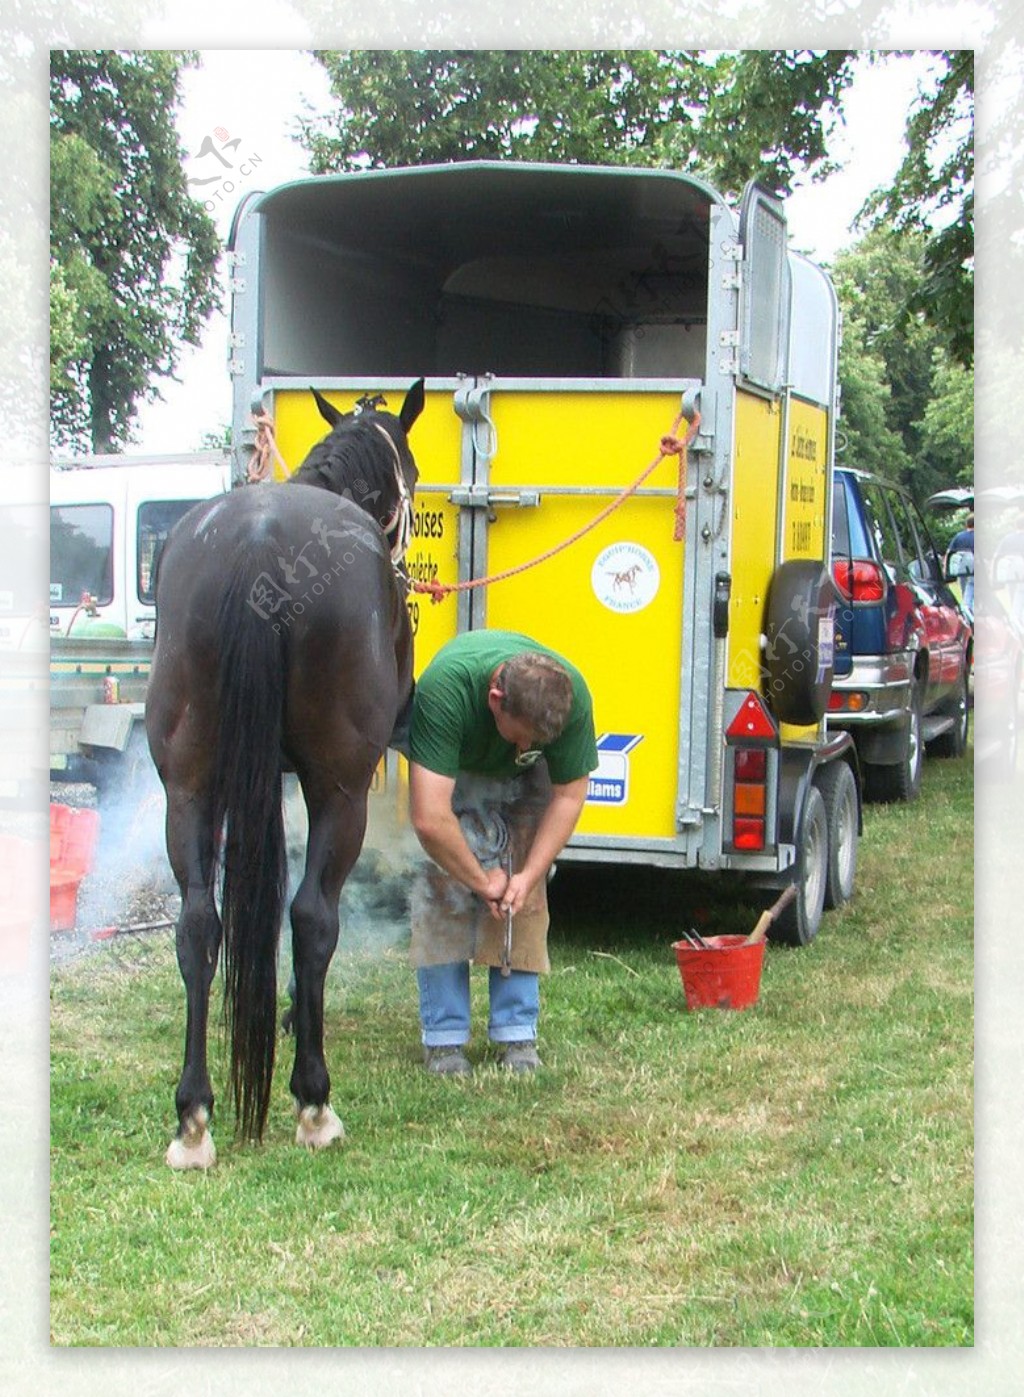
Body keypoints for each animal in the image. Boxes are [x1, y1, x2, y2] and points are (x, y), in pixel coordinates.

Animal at [145, 379, 421, 1167]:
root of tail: (261, 542)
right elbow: (304, 909)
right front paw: (299, 1015)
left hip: (189, 787)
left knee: (198, 924)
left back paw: (194, 1115)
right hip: (340, 790)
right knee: (313, 915)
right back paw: (312, 1102)